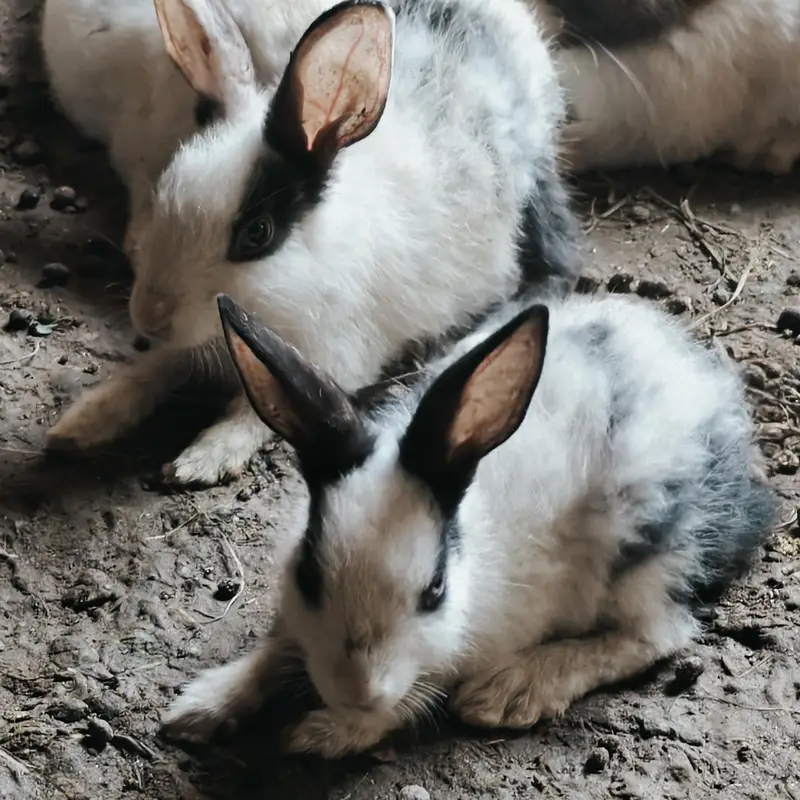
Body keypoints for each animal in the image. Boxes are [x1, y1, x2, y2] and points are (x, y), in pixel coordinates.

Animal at [42, 0, 582, 487]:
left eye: (257, 234)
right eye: (166, 186)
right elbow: (153, 370)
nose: (150, 317)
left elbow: (253, 414)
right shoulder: (192, 344)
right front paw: (80, 423)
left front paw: (200, 461)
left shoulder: (331, 358)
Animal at [161, 291, 777, 759]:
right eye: (309, 576)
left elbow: (419, 693)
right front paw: (197, 708)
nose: (357, 691)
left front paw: (324, 734)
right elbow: (276, 649)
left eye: (434, 591)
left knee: (654, 634)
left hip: (646, 557)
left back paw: (511, 690)